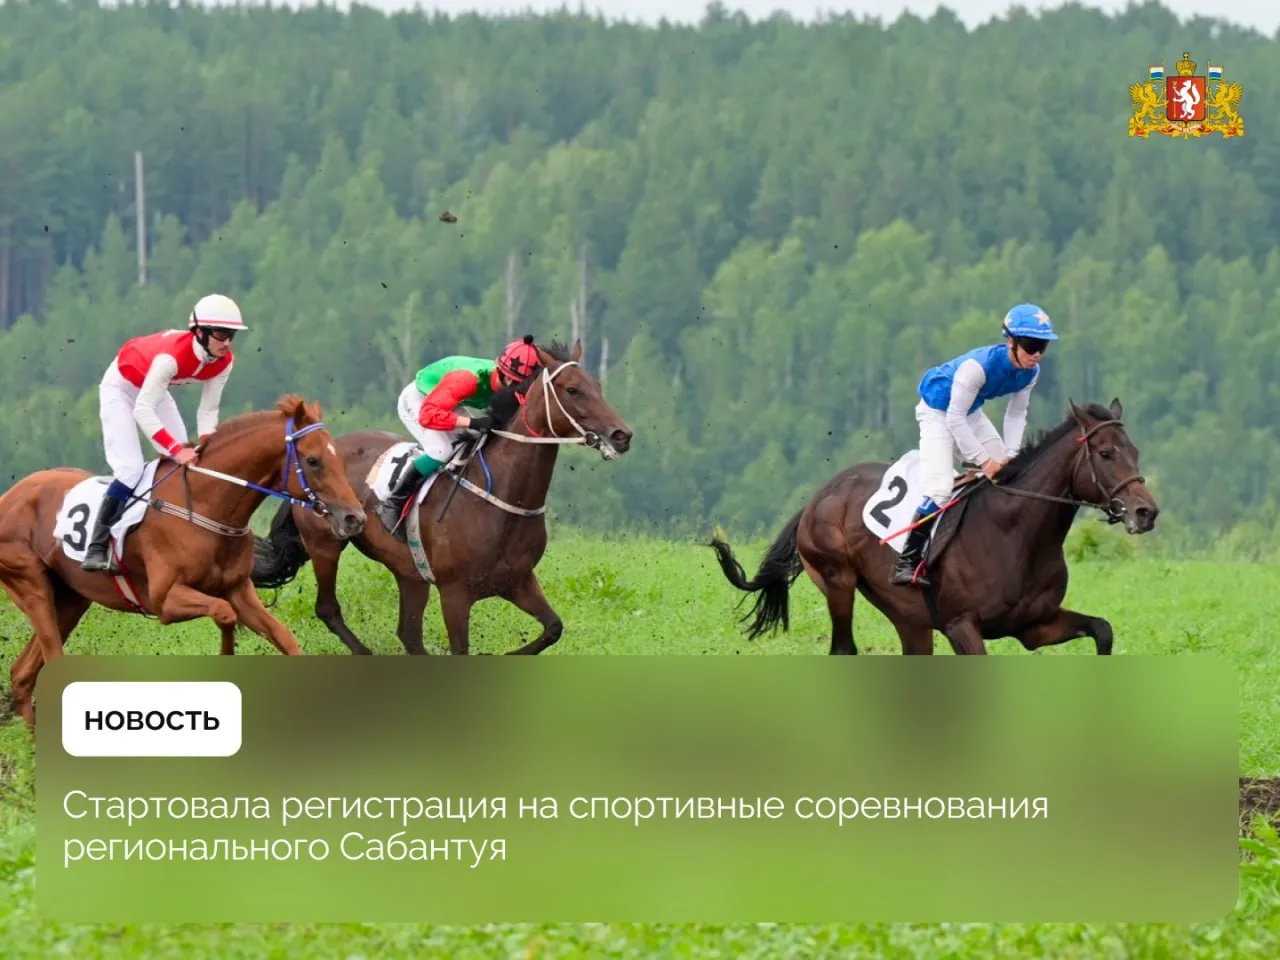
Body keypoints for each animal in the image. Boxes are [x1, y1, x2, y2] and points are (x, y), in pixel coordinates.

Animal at [0, 395, 367, 728]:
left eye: (337, 455)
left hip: (71, 600)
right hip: (32, 586)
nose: (354, 518)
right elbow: (224, 614)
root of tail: (10, 496)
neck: (206, 506)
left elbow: (283, 637)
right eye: (314, 460)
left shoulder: (238, 590)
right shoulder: (166, 600)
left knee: (22, 674)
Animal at [249, 339, 633, 656]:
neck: (500, 501)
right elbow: (461, 650)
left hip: (410, 573)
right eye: (573, 390)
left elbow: (553, 628)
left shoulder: (519, 580)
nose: (622, 434)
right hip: (326, 543)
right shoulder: (455, 593)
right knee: (328, 609)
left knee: (408, 634)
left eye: (598, 386)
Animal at [708, 399, 1159, 656]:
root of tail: (819, 496)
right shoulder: (961, 625)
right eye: (1105, 453)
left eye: (1136, 451)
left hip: (908, 618)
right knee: (843, 649)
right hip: (837, 581)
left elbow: (1103, 631)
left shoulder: (1035, 624)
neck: (1015, 534)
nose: (1145, 512)